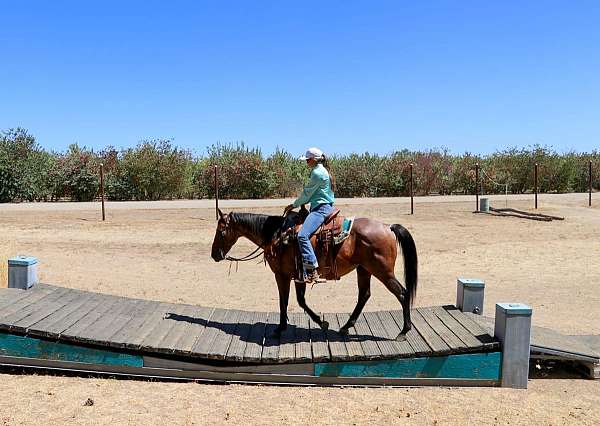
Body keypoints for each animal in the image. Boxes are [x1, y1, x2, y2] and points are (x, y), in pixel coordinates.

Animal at [211, 206, 418, 340]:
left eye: (221, 231)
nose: (214, 255)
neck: (276, 235)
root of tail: (387, 227)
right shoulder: (298, 276)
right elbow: (298, 300)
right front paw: (317, 322)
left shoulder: (282, 275)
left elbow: (286, 300)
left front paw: (282, 328)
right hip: (364, 269)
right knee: (364, 295)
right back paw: (346, 327)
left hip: (382, 271)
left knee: (402, 293)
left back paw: (403, 332)